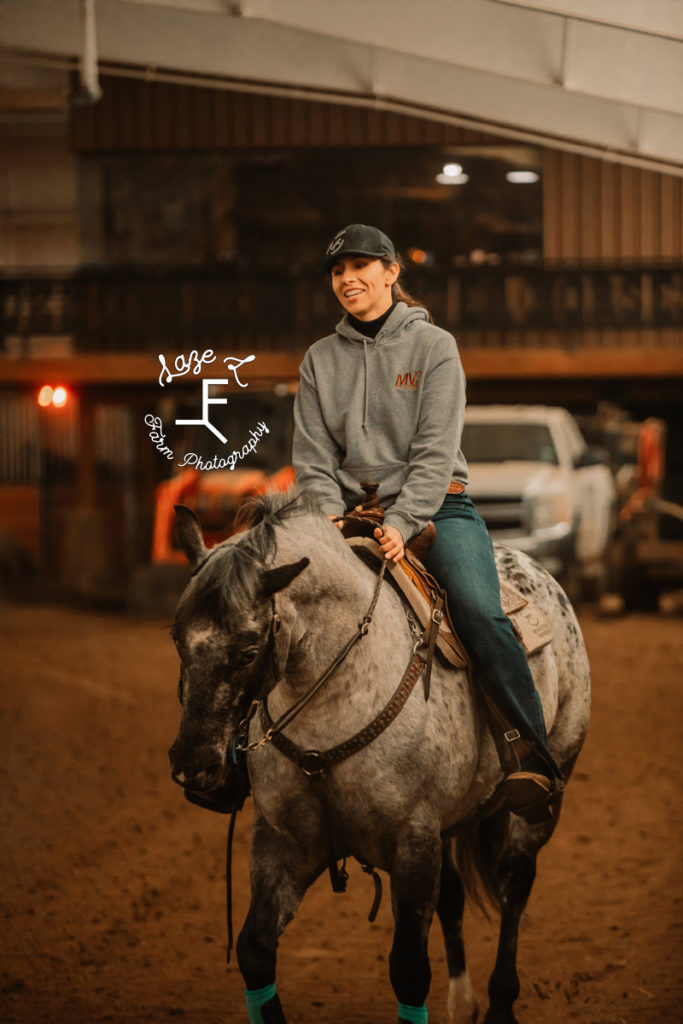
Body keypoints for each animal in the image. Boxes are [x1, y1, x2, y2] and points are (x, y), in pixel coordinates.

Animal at [167, 489, 589, 1024]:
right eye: (177, 638)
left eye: (246, 651)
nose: (194, 766)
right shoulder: (284, 843)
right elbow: (254, 951)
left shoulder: (412, 844)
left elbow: (408, 969)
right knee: (454, 895)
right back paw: (462, 1002)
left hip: (544, 795)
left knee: (515, 881)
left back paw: (499, 1003)